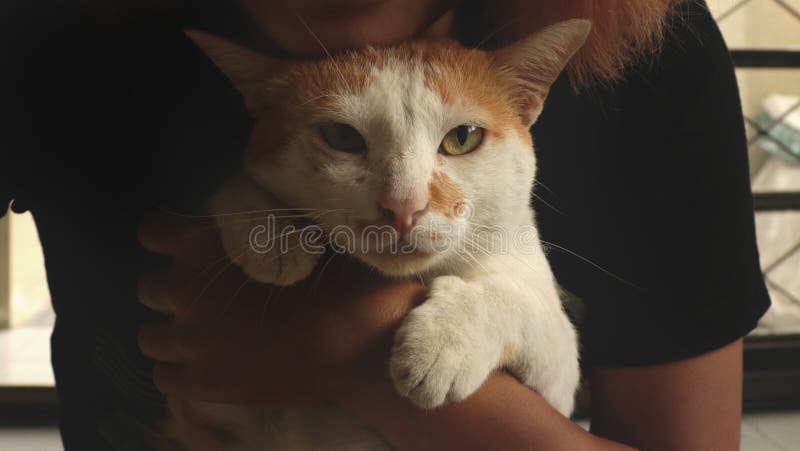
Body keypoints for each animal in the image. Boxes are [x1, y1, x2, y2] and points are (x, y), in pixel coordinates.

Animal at [161, 18, 588, 451]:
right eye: (342, 136)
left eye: (463, 137)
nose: (403, 206)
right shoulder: (203, 414)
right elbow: (240, 181)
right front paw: (274, 235)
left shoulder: (560, 383)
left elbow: (518, 301)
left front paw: (444, 343)